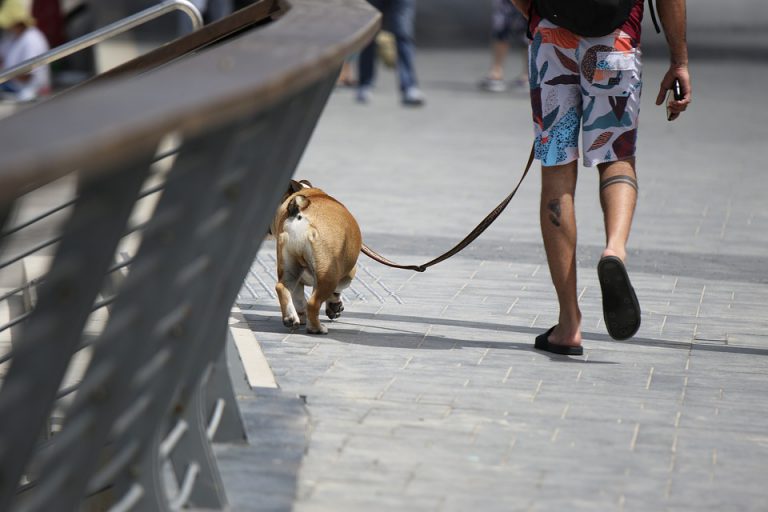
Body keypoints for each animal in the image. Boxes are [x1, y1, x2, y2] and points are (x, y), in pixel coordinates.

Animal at [270, 181, 364, 336]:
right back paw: (317, 328)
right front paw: (334, 304)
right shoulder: (346, 274)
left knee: (282, 287)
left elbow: (298, 298)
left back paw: (291, 318)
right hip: (329, 274)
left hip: (290, 266)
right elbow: (337, 289)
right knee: (313, 303)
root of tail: (301, 210)